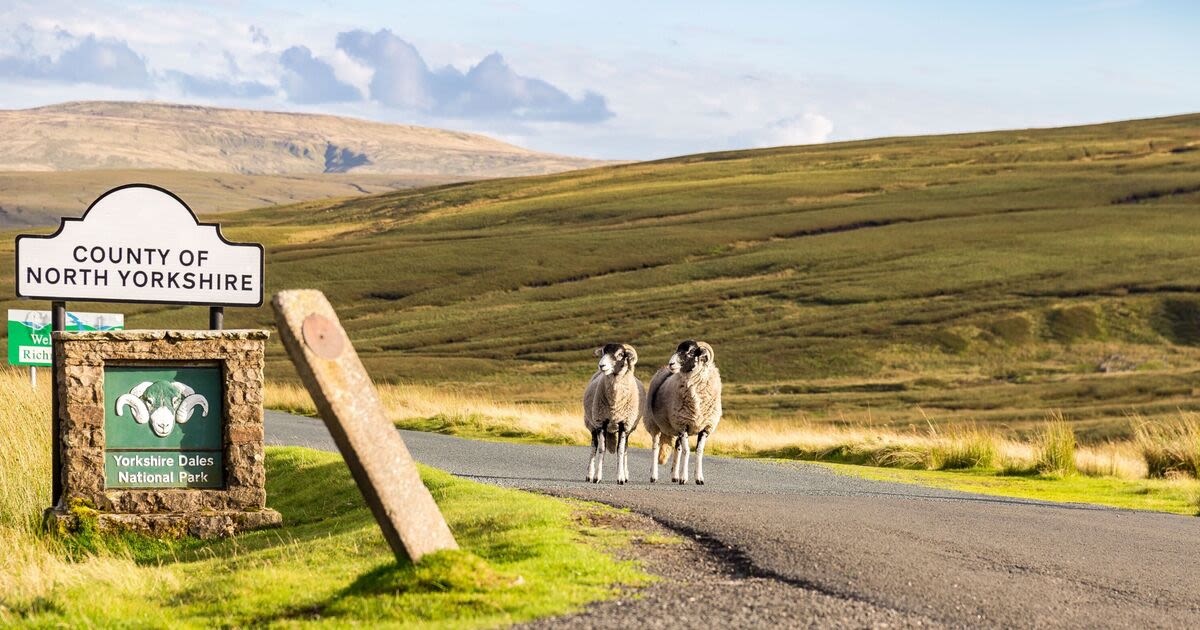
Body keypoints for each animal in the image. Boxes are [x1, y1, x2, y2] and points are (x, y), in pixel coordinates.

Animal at [583, 340, 648, 484]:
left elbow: (621, 451)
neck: (615, 405)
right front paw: (597, 477)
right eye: (603, 352)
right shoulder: (601, 422)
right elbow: (601, 449)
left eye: (620, 354)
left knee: (625, 449)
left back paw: (625, 474)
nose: (601, 365)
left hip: (628, 429)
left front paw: (620, 477)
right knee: (593, 447)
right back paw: (589, 474)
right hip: (592, 425)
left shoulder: (625, 424)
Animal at [648, 338, 720, 482]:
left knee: (677, 447)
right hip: (653, 423)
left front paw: (699, 478)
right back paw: (654, 476)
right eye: (677, 350)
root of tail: (662, 368)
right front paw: (684, 478)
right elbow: (687, 451)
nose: (671, 364)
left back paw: (675, 476)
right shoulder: (683, 425)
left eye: (690, 352)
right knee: (655, 447)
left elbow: (699, 451)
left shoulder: (705, 427)